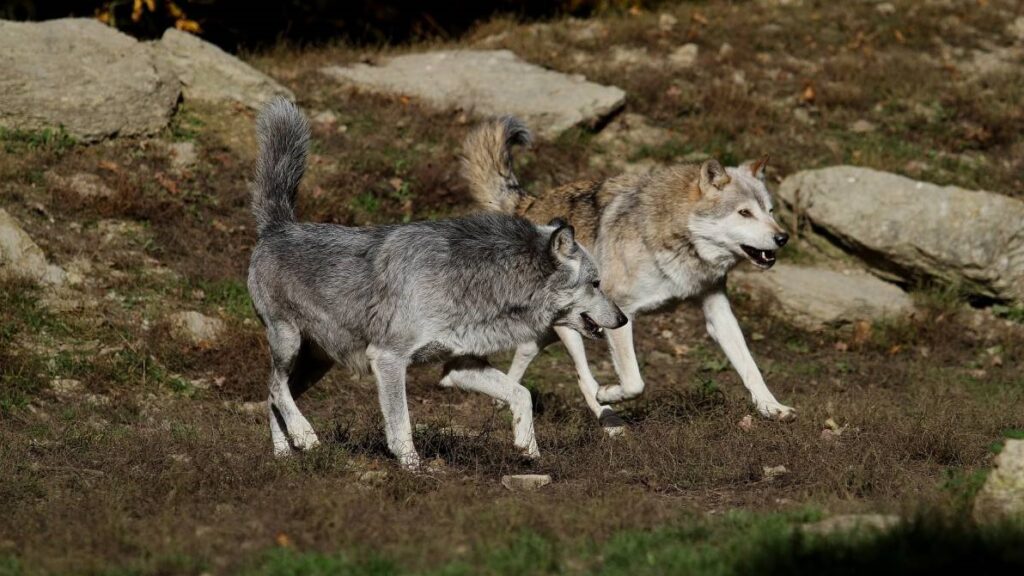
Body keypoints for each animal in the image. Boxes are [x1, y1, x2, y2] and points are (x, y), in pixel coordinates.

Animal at [249, 98, 630, 467]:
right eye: (596, 283)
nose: (623, 318)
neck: (475, 281)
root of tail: (277, 226)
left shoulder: (459, 366)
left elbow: (522, 394)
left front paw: (528, 447)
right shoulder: (387, 359)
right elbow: (401, 425)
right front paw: (413, 469)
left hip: (318, 362)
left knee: (271, 398)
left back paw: (284, 456)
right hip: (289, 342)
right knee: (275, 388)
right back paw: (305, 436)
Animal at [462, 116, 790, 430]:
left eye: (770, 211)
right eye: (744, 213)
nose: (783, 237)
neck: (676, 235)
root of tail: (530, 203)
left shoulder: (717, 308)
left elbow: (750, 366)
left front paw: (771, 407)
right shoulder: (622, 314)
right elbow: (634, 382)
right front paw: (609, 392)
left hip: (556, 330)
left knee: (525, 350)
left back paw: (503, 401)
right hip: (574, 327)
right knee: (582, 377)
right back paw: (610, 420)